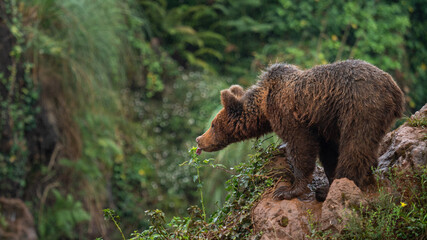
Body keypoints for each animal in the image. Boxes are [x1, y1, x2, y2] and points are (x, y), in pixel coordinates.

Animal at [197, 59, 404, 201]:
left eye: (212, 125)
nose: (199, 139)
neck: (264, 104)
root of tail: (395, 90)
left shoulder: (289, 114)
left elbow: (301, 146)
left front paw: (287, 190)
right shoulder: (324, 123)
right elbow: (328, 152)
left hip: (361, 108)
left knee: (355, 146)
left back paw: (336, 187)